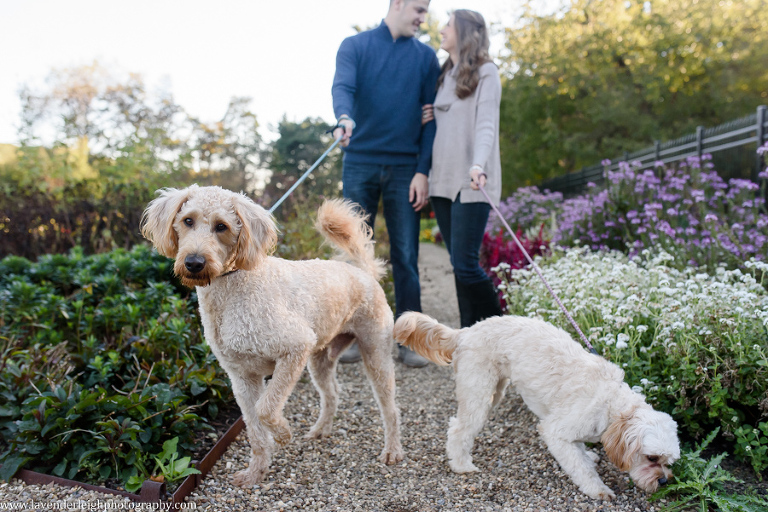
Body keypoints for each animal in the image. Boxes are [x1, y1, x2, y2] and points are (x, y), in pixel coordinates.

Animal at [140, 186, 402, 486]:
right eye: (187, 221)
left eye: (222, 226)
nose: (194, 263)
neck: (233, 287)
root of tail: (363, 272)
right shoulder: (242, 379)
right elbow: (254, 429)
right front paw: (256, 472)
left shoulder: (293, 350)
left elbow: (266, 409)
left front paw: (283, 434)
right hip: (319, 359)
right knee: (332, 394)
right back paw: (321, 429)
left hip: (375, 354)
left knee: (391, 408)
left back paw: (392, 450)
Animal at [396, 312, 680, 500]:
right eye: (651, 457)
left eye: (669, 461)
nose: (664, 481)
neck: (612, 404)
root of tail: (466, 332)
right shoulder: (556, 431)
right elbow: (580, 467)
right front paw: (598, 489)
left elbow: (580, 451)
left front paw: (588, 456)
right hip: (479, 394)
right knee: (458, 428)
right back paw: (461, 464)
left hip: (494, 392)